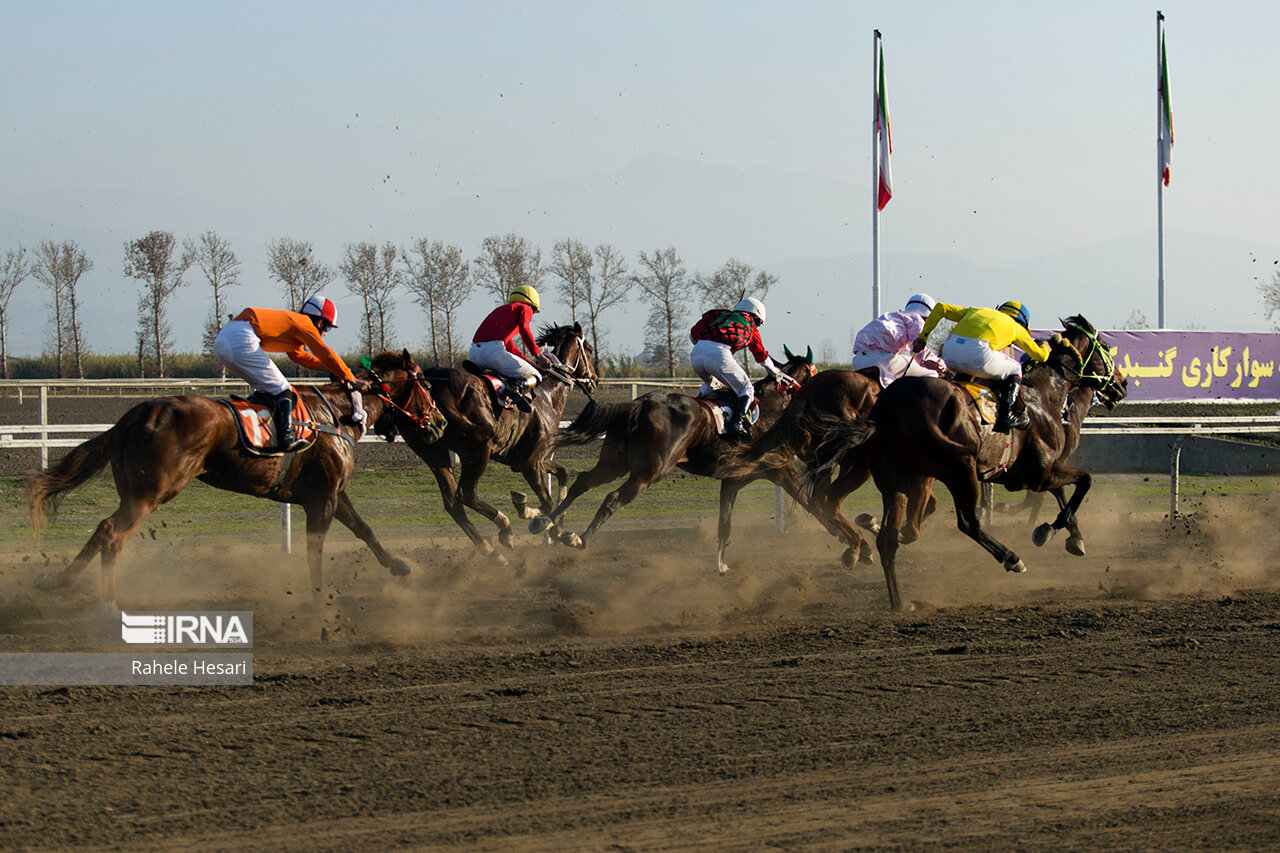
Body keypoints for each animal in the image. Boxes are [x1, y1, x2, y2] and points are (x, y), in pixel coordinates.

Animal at [27, 348, 448, 607]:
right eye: (426, 386)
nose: (441, 423)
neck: (338, 414)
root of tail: (135, 415)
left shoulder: (329, 494)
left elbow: (365, 529)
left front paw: (399, 566)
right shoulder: (323, 499)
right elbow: (315, 551)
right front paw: (319, 603)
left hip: (133, 490)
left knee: (103, 530)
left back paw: (55, 581)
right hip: (151, 492)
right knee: (113, 534)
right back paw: (109, 606)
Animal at [540, 343, 819, 560]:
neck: (773, 407)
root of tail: (639, 404)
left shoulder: (740, 475)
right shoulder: (780, 467)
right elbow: (811, 503)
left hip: (615, 463)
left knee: (583, 482)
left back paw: (547, 523)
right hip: (650, 472)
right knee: (612, 498)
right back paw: (581, 538)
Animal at [808, 315, 1131, 607]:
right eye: (1105, 346)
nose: (1123, 383)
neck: (1044, 397)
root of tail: (884, 409)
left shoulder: (1033, 473)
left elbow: (1068, 489)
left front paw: (1071, 537)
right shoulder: (1036, 473)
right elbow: (1082, 482)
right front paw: (1049, 531)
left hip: (893, 477)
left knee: (883, 537)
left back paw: (897, 599)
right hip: (959, 468)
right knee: (968, 523)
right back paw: (1011, 558)